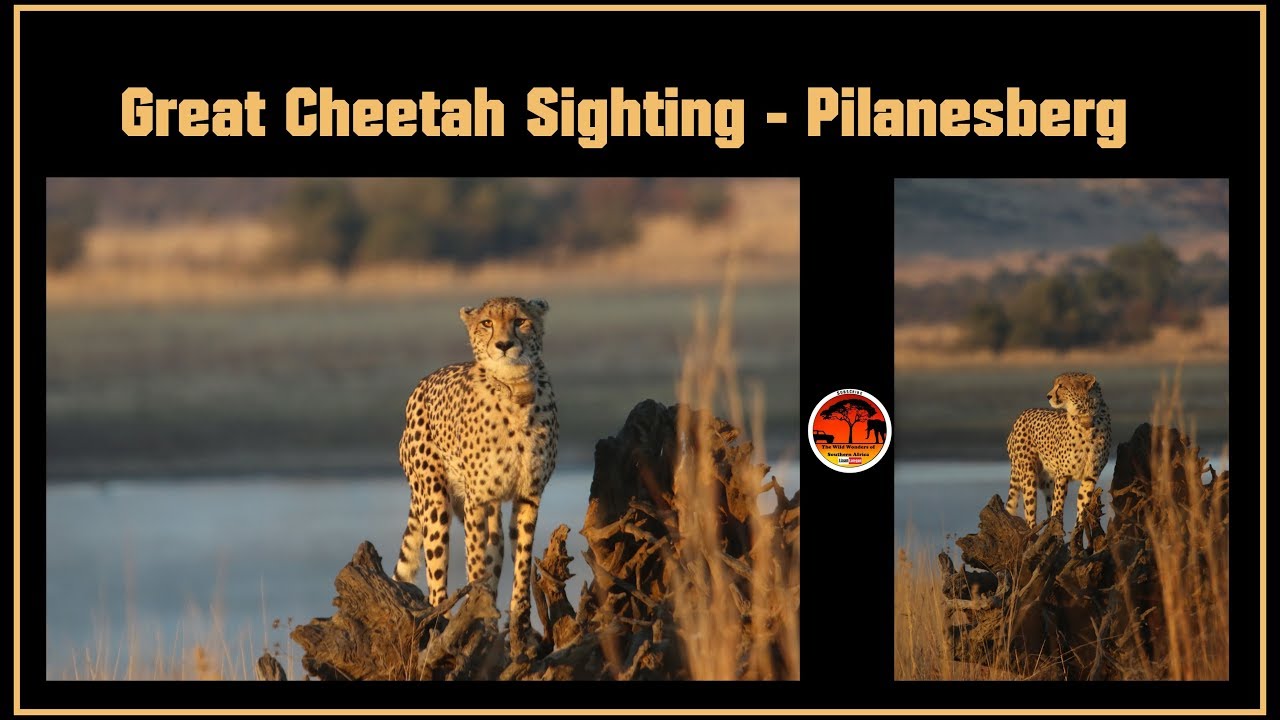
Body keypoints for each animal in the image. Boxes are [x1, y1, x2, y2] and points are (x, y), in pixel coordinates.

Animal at [391, 296, 558, 655]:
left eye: (520, 321)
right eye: (487, 323)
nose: (504, 345)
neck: (515, 389)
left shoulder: (528, 495)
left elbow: (521, 564)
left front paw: (521, 632)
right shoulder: (475, 500)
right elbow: (475, 564)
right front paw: (474, 621)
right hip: (435, 500)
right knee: (437, 580)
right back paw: (444, 626)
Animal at [1005, 371, 1112, 542]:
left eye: (1061, 386)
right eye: (1056, 384)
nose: (1048, 396)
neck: (1085, 417)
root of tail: (1022, 414)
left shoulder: (1090, 476)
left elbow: (1082, 506)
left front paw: (1076, 534)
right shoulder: (1063, 475)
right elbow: (1058, 508)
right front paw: (1058, 536)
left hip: (1048, 481)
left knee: (1048, 503)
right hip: (1028, 475)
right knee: (1030, 512)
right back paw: (1034, 536)